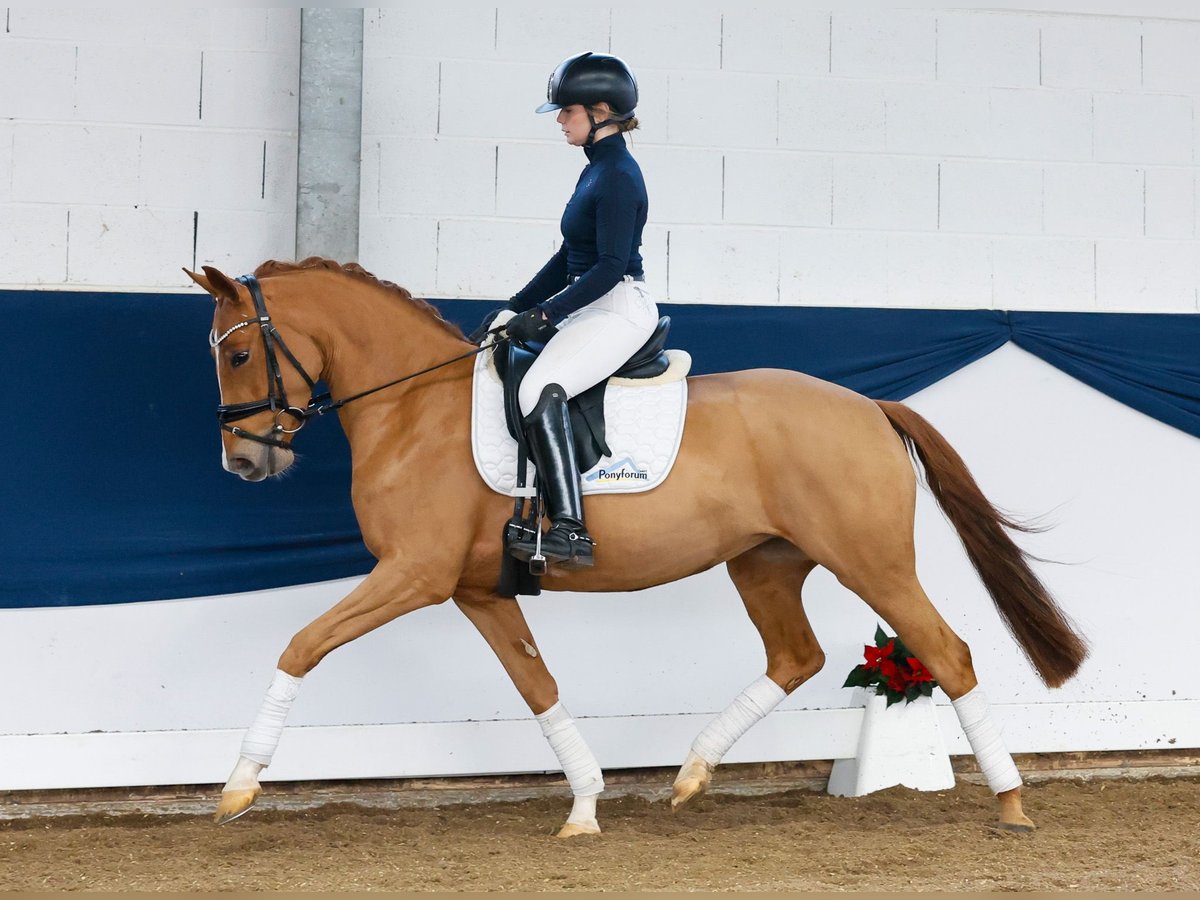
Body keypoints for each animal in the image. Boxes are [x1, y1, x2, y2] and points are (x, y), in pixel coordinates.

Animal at [184, 259, 1089, 840]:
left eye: (240, 352)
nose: (245, 463)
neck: (414, 408)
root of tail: (869, 406)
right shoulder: (479, 589)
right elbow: (537, 685)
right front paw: (586, 806)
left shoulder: (413, 574)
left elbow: (301, 644)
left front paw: (236, 788)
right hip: (764, 561)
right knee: (795, 656)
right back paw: (690, 775)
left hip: (870, 560)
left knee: (946, 651)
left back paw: (1011, 804)